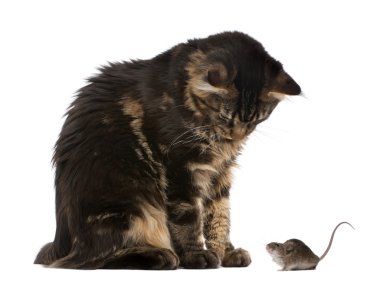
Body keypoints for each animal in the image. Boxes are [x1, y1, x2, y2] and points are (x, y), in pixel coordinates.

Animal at [34, 31, 300, 268]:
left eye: (257, 120)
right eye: (225, 116)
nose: (237, 135)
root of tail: (61, 244)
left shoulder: (220, 172)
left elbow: (219, 216)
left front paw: (226, 252)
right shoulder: (181, 166)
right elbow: (188, 219)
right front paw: (196, 256)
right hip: (126, 204)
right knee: (95, 257)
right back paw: (159, 256)